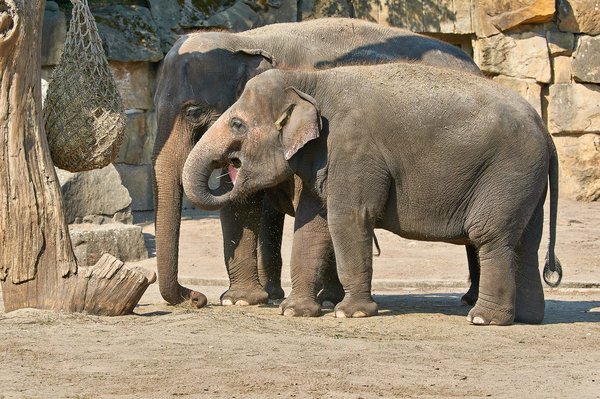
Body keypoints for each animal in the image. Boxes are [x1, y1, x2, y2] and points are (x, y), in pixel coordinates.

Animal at [152, 17, 480, 310]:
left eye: (194, 112)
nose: (196, 298)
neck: (246, 39)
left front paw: (318, 300)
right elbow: (242, 203)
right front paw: (241, 300)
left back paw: (470, 300)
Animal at [182, 62, 564, 324]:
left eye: (237, 124)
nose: (229, 171)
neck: (309, 80)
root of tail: (546, 134)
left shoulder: (353, 149)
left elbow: (347, 219)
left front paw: (350, 314)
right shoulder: (325, 157)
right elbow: (312, 224)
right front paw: (294, 312)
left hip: (508, 173)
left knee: (492, 237)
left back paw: (484, 319)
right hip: (527, 183)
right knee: (526, 243)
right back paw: (527, 318)